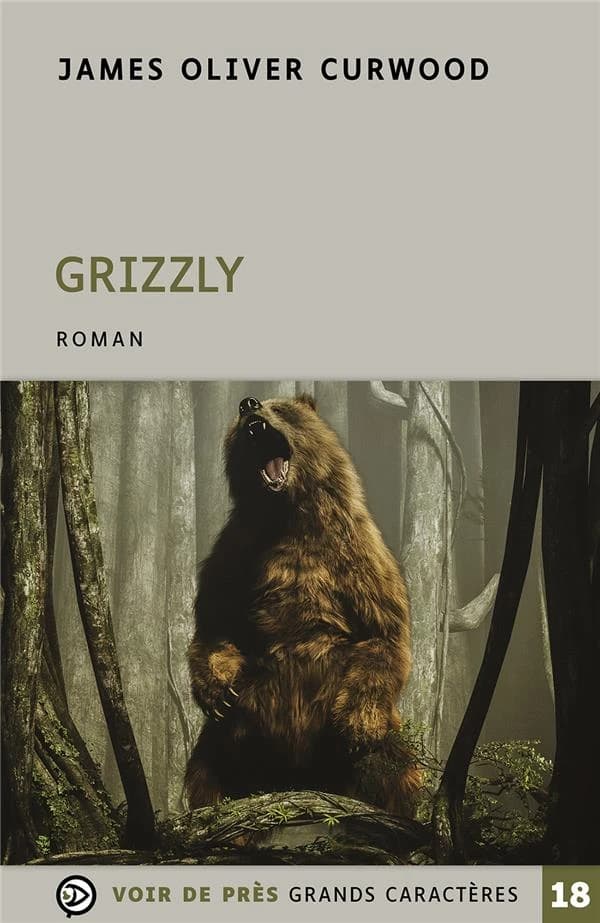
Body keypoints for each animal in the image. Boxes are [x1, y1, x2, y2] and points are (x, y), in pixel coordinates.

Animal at [185, 393, 420, 815]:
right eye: (243, 411)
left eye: (278, 407)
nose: (248, 404)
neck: (288, 515)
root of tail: (297, 776)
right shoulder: (234, 552)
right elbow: (215, 625)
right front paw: (218, 690)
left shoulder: (358, 553)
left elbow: (383, 632)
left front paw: (357, 728)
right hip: (233, 733)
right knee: (208, 765)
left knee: (396, 767)